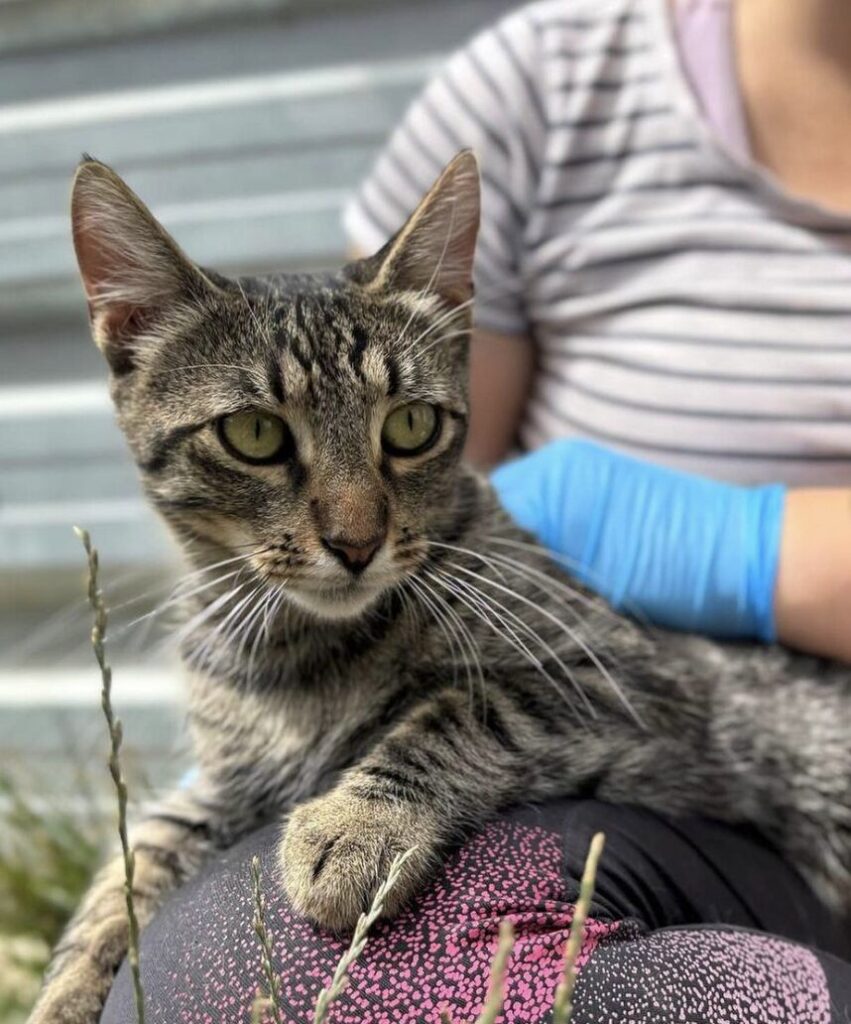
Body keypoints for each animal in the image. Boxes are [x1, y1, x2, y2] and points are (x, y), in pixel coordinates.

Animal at [29, 151, 851, 1024]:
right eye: (253, 434)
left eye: (410, 426)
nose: (355, 543)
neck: (300, 654)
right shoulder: (220, 788)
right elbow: (130, 868)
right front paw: (65, 991)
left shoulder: (623, 679)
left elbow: (458, 711)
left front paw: (356, 826)